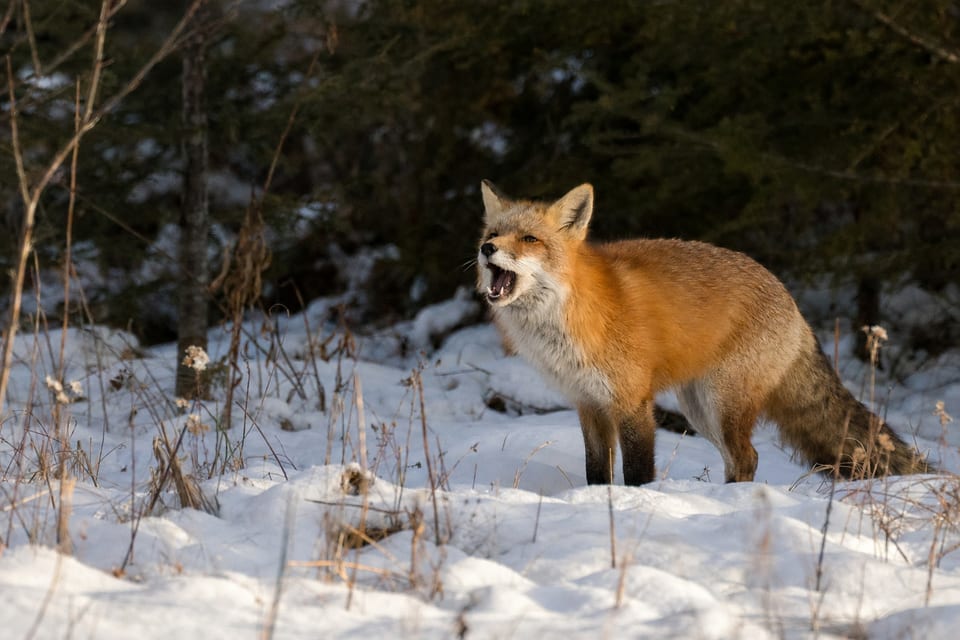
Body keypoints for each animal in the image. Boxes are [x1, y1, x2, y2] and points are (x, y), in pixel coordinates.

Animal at [476, 180, 931, 485]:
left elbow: (638, 471)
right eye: (492, 234)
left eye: (530, 239)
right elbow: (596, 472)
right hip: (699, 409)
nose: (486, 250)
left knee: (747, 457)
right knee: (740, 459)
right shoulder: (588, 403)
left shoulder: (632, 402)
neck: (569, 317)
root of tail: (792, 301)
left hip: (721, 404)